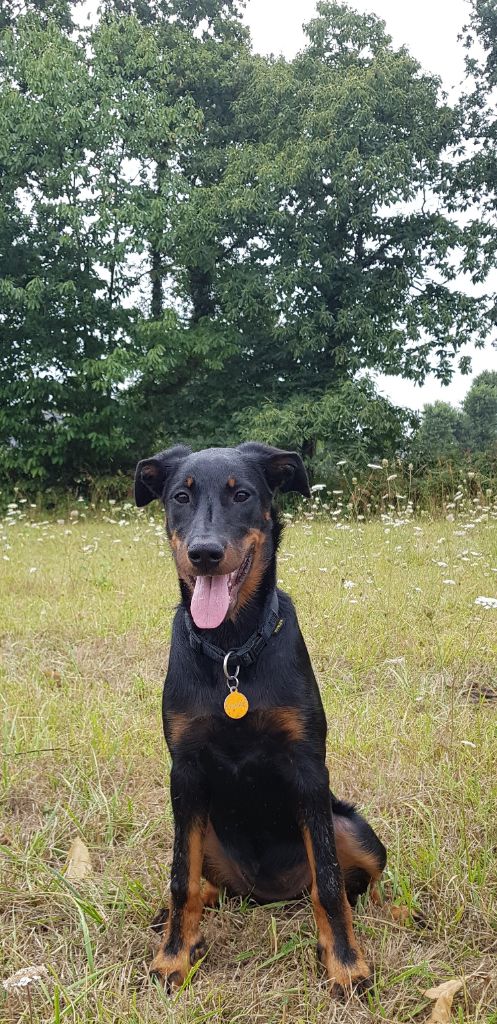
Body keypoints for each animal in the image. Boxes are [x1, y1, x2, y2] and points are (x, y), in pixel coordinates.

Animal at [135, 444, 387, 995]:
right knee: (200, 883)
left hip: (348, 824)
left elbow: (330, 883)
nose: (204, 553)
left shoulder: (308, 768)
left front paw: (345, 963)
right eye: (180, 496)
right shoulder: (185, 773)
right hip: (204, 826)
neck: (232, 649)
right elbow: (180, 878)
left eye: (243, 494)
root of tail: (267, 895)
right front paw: (173, 956)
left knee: (357, 883)